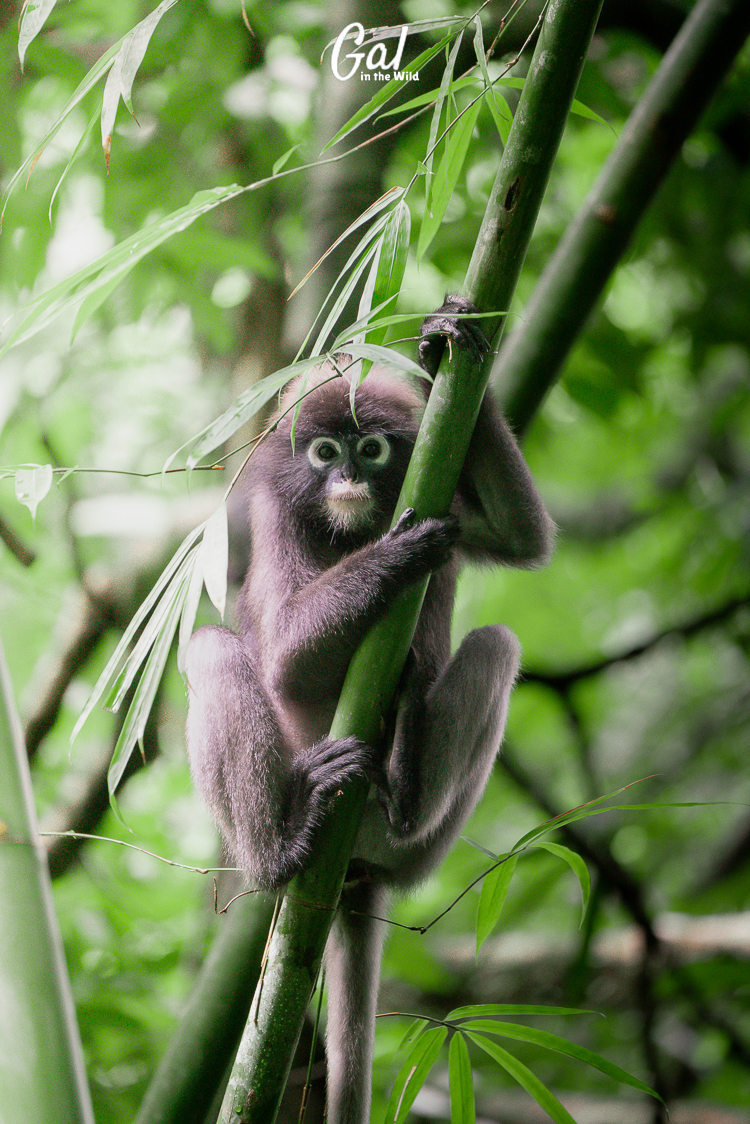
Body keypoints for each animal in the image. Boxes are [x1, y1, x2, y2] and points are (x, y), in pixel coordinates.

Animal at [185, 296, 553, 1124]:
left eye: (375, 450)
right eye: (325, 453)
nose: (351, 477)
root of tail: (356, 868)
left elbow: (523, 536)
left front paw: (445, 338)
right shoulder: (275, 516)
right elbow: (286, 658)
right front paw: (400, 554)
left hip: (417, 849)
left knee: (497, 644)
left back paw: (406, 776)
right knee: (212, 649)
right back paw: (284, 851)